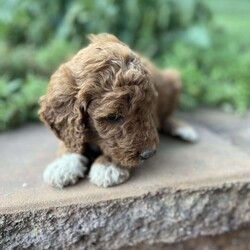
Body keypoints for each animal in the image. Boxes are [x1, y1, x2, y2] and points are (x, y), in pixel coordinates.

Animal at [39, 34, 198, 188]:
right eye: (113, 116)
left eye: (148, 107)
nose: (149, 154)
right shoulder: (70, 127)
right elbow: (70, 141)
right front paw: (62, 165)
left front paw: (108, 166)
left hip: (170, 82)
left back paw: (183, 129)